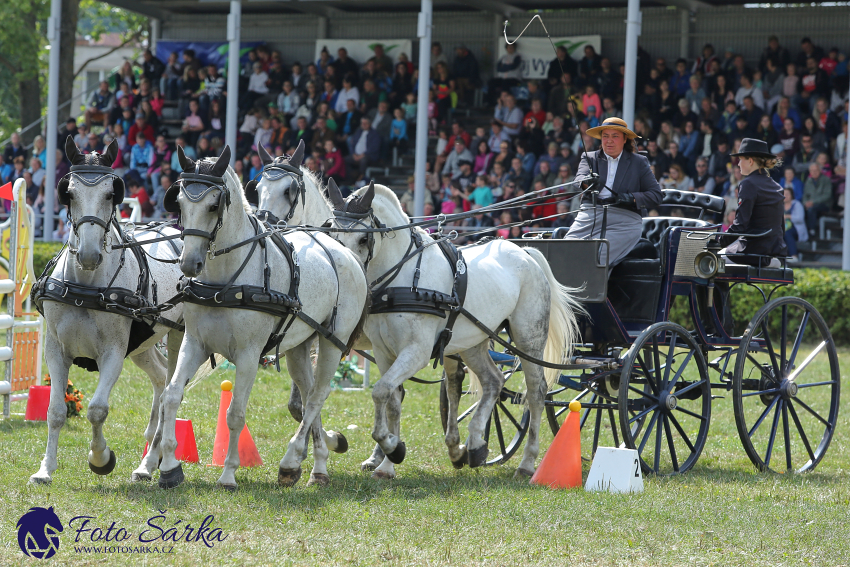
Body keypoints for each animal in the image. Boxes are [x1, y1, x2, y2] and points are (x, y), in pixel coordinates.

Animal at [29, 140, 185, 486]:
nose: (89, 255)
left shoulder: (113, 352)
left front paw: (101, 458)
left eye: (111, 194)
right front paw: (45, 469)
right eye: (69, 193)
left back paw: (159, 461)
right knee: (158, 379)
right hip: (142, 345)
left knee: (170, 391)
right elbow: (55, 411)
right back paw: (147, 464)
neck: (86, 287)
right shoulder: (55, 349)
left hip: (179, 336)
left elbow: (97, 409)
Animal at [147, 148, 366, 492]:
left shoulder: (249, 354)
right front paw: (169, 468)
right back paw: (317, 467)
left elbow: (235, 413)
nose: (189, 263)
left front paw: (228, 474)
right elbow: (171, 396)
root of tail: (343, 251)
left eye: (214, 206)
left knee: (317, 397)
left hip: (333, 342)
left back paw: (291, 461)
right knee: (307, 395)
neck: (225, 281)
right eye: (179, 203)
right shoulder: (194, 343)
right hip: (299, 345)